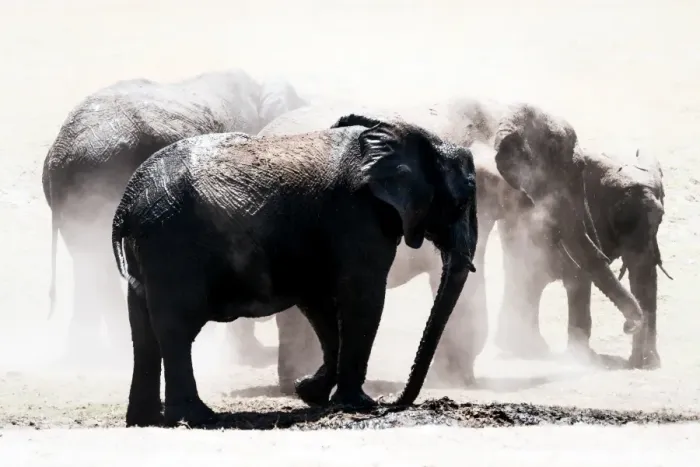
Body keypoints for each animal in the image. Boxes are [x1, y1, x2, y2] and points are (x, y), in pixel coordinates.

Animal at [110, 114, 479, 427]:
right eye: (464, 199)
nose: (395, 402)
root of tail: (125, 207)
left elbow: (319, 304)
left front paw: (310, 392)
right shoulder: (359, 217)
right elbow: (362, 297)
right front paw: (358, 404)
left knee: (142, 330)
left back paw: (146, 420)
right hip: (172, 246)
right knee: (176, 327)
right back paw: (198, 418)